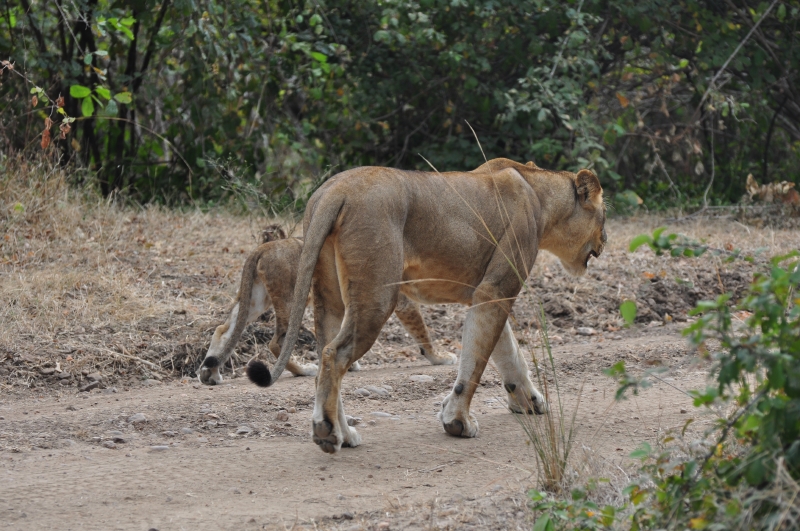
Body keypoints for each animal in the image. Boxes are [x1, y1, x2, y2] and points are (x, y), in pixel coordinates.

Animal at [197, 227, 455, 385]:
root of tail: (263, 247)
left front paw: (347, 362)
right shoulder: (400, 300)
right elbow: (422, 332)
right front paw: (440, 357)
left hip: (256, 299)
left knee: (223, 330)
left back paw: (210, 374)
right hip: (290, 298)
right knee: (277, 342)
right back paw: (304, 370)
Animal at [246, 158, 606, 454]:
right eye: (604, 217)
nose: (606, 241)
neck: (541, 197)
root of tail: (336, 189)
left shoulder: (483, 292)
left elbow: (508, 352)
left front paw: (529, 402)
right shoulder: (495, 289)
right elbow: (477, 361)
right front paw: (458, 421)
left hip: (331, 297)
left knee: (325, 354)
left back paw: (343, 432)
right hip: (377, 296)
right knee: (335, 354)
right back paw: (326, 432)